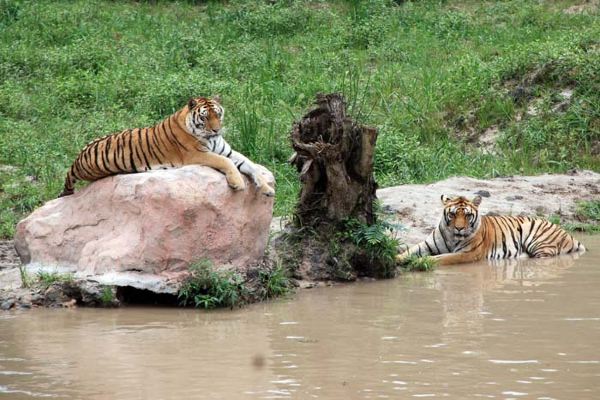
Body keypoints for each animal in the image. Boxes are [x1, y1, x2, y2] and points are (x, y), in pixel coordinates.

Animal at [58, 95, 274, 198]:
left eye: (218, 114)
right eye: (205, 117)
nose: (216, 129)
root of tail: (77, 158)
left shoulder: (227, 151)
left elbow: (250, 165)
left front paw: (266, 188)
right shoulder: (198, 154)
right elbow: (225, 162)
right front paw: (237, 183)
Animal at [396, 194, 584, 266]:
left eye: (467, 215)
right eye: (452, 214)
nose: (459, 228)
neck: (452, 237)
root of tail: (568, 234)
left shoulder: (467, 254)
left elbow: (441, 258)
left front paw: (420, 262)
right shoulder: (426, 244)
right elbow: (409, 251)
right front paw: (398, 258)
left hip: (537, 240)